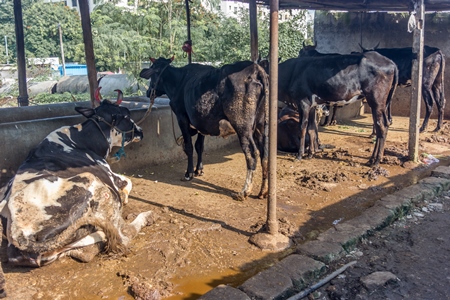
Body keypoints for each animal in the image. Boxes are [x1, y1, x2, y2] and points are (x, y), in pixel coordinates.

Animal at [0, 88, 155, 298]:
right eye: (125, 114)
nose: (141, 131)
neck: (82, 139)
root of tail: (20, 235)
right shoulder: (111, 176)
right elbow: (128, 182)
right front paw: (125, 196)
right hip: (94, 184)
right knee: (122, 235)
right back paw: (145, 217)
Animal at [139, 56, 268, 202]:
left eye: (152, 75)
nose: (148, 92)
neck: (179, 82)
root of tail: (256, 68)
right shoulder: (202, 122)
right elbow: (199, 146)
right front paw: (199, 170)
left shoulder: (182, 117)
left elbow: (189, 146)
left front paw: (189, 173)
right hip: (261, 125)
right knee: (264, 154)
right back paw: (263, 191)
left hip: (243, 126)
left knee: (252, 153)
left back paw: (244, 191)